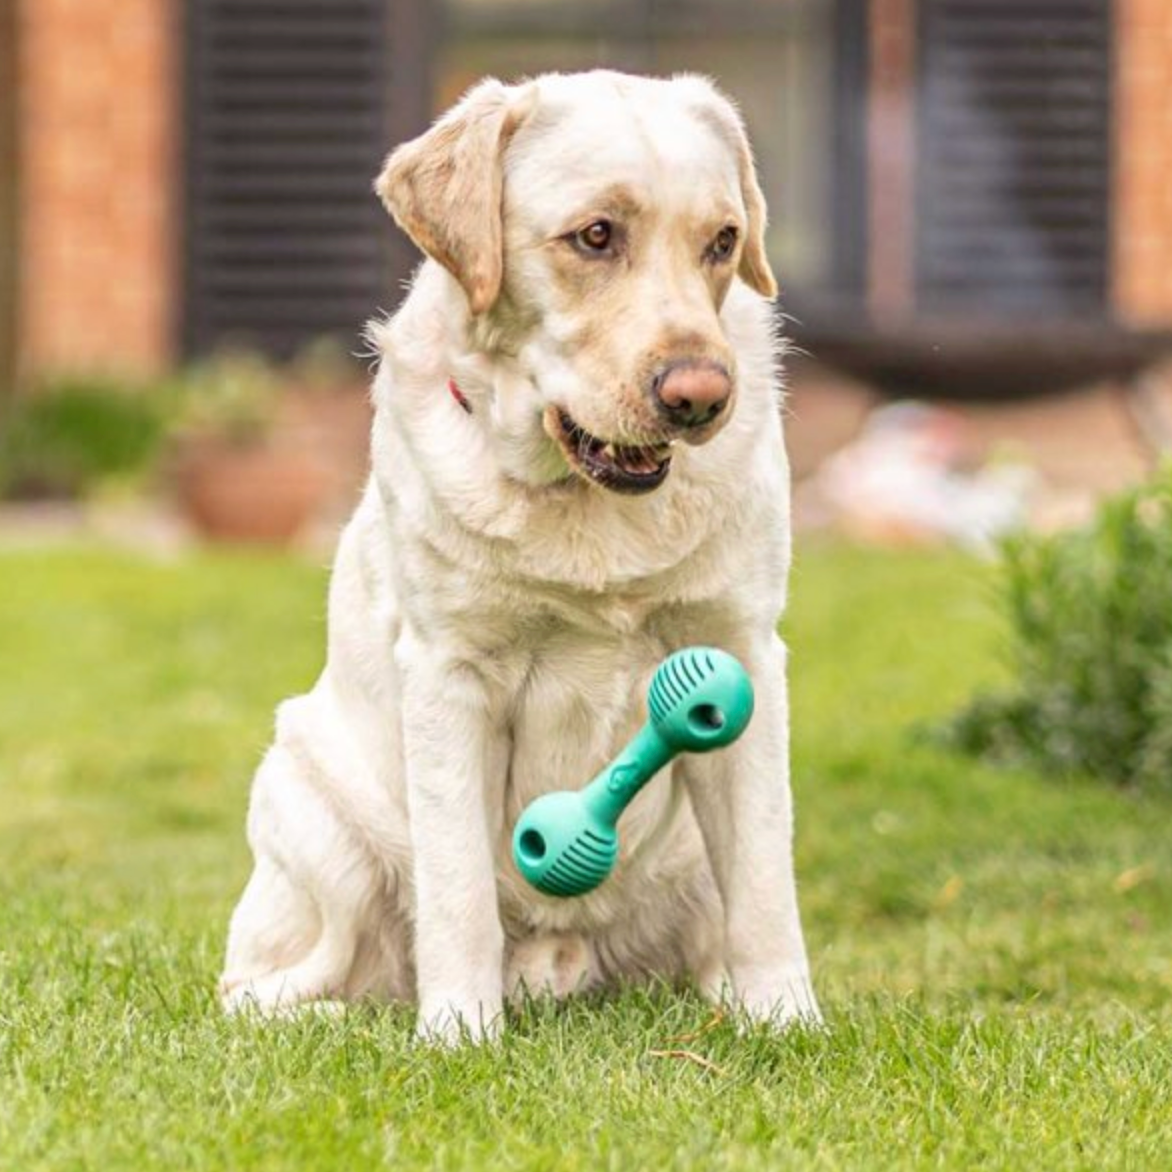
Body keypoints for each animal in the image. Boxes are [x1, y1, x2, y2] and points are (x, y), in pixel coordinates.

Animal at [223, 68, 820, 1040]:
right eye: (596, 235)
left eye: (723, 241)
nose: (700, 397)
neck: (584, 504)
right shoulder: (449, 673)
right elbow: (459, 885)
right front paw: (458, 1036)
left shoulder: (741, 650)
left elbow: (767, 882)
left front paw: (788, 1024)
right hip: (310, 804)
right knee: (265, 986)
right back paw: (347, 1018)